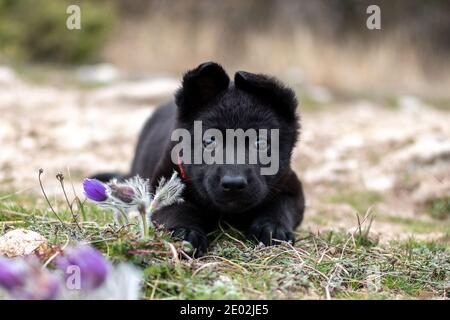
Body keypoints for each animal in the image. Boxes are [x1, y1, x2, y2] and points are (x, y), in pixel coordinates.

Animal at [96, 62, 306, 256]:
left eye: (261, 143)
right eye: (210, 141)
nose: (234, 184)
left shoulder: (291, 187)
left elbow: (280, 206)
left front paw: (272, 228)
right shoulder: (162, 187)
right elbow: (177, 210)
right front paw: (186, 233)